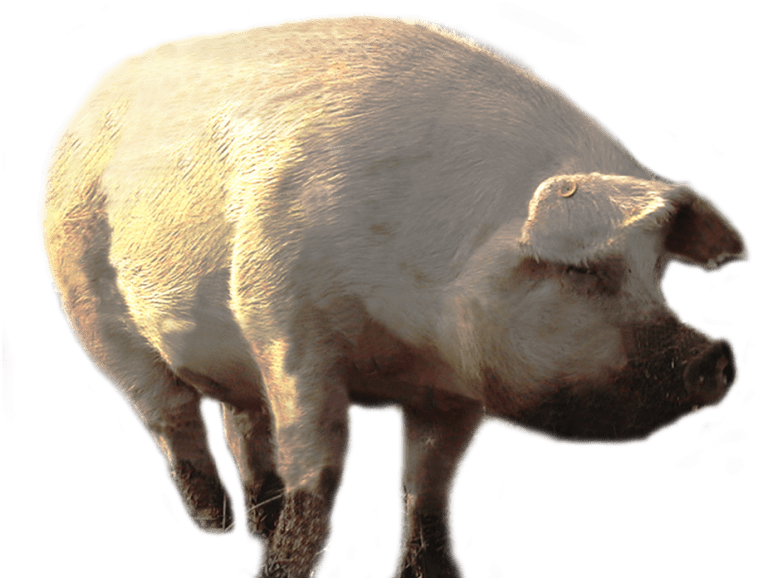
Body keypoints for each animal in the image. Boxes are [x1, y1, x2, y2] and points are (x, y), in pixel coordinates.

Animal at [38, 14, 750, 578]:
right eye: (581, 272)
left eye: (657, 272)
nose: (718, 356)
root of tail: (87, 100)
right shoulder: (285, 322)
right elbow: (323, 454)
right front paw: (282, 571)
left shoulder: (453, 387)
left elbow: (431, 476)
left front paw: (434, 573)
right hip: (88, 303)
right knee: (169, 413)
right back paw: (217, 525)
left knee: (244, 422)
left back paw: (256, 524)